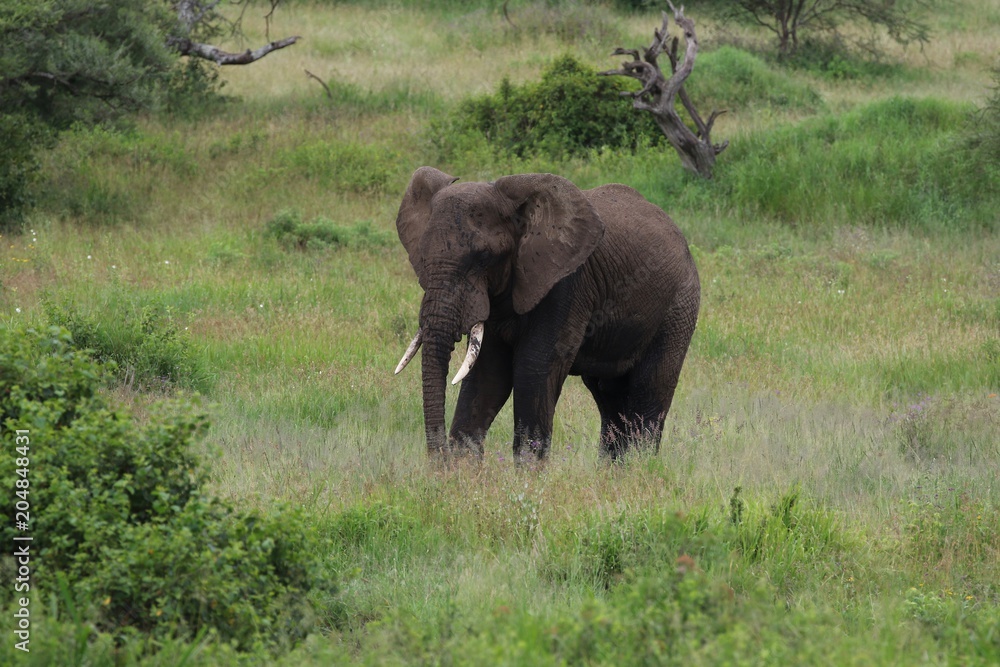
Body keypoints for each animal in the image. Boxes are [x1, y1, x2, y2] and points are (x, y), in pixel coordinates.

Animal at [393, 166, 700, 462]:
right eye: (422, 255)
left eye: (484, 255)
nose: (439, 460)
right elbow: (486, 373)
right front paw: (462, 470)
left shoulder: (565, 284)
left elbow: (534, 367)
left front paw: (528, 474)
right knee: (610, 398)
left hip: (678, 306)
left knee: (648, 395)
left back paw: (640, 466)